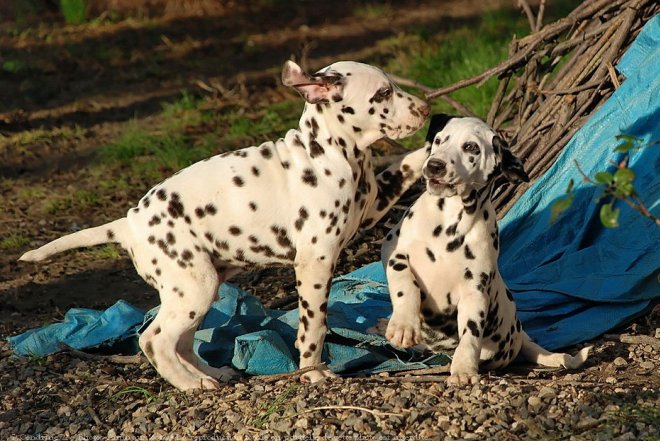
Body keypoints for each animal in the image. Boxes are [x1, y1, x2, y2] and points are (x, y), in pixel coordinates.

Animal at [20, 60, 430, 390]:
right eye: (384, 92)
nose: (426, 108)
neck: (332, 152)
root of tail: (128, 223)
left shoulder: (373, 206)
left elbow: (406, 165)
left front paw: (435, 147)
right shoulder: (316, 261)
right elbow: (313, 325)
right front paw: (313, 372)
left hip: (201, 290)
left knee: (183, 342)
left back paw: (210, 374)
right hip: (193, 287)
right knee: (154, 339)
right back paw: (191, 385)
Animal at [378, 115, 592, 384]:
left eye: (471, 147)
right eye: (438, 140)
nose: (435, 165)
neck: (447, 223)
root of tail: (521, 334)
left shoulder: (475, 292)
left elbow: (470, 335)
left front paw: (463, 369)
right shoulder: (393, 251)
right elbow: (405, 284)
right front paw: (404, 325)